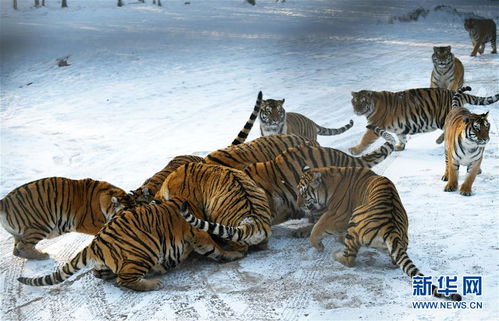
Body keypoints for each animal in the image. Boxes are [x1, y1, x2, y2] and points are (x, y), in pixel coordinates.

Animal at [0, 178, 134, 260]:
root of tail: (5, 201)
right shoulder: (89, 223)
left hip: (21, 232)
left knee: (17, 248)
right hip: (40, 224)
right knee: (23, 246)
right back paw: (43, 255)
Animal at [17, 198, 246, 290]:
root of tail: (95, 244)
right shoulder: (198, 234)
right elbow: (214, 249)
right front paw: (232, 255)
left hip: (109, 262)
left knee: (103, 274)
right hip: (144, 251)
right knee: (124, 280)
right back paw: (153, 283)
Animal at [294, 166, 462, 302]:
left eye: (303, 194)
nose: (297, 205)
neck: (329, 183)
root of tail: (390, 228)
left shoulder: (336, 215)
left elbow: (317, 227)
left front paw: (318, 245)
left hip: (355, 218)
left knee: (349, 259)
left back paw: (336, 255)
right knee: (395, 260)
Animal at [350, 87, 499, 153]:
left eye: (363, 101)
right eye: (355, 101)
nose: (356, 110)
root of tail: (453, 92)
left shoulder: (374, 126)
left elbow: (365, 139)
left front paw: (355, 150)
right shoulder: (400, 128)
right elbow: (401, 136)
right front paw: (400, 146)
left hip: (443, 117)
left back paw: (438, 140)